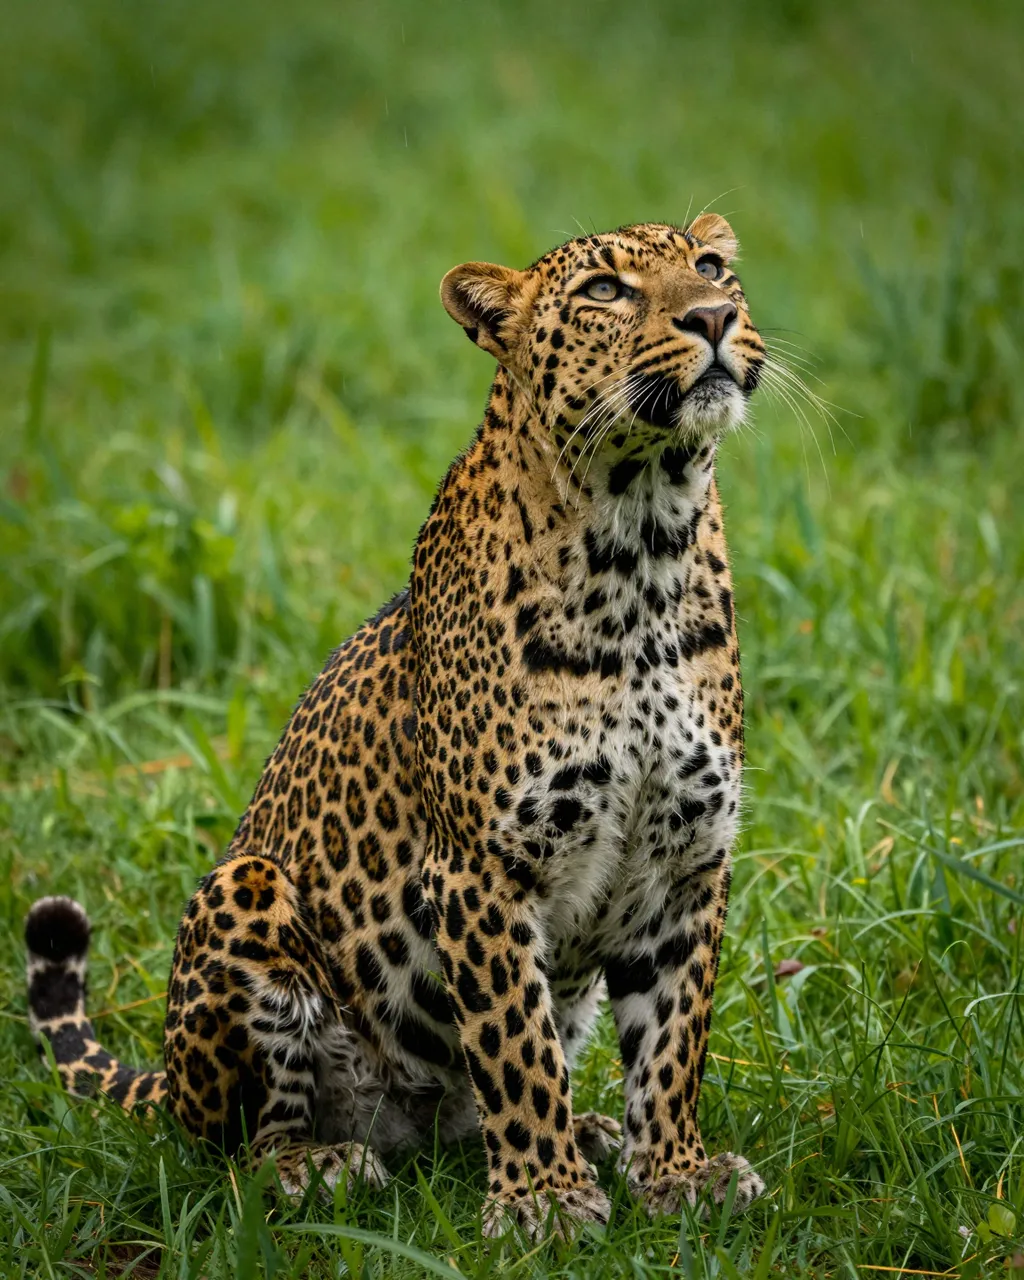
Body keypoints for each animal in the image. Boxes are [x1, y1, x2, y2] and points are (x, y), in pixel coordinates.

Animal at [25, 214, 768, 1240]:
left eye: (711, 267)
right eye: (606, 292)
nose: (712, 317)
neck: (645, 544)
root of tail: (167, 1082)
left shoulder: (691, 855)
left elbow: (672, 1040)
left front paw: (676, 1173)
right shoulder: (483, 868)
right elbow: (516, 1046)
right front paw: (542, 1201)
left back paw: (595, 1137)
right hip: (245, 893)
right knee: (234, 1150)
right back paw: (318, 1168)